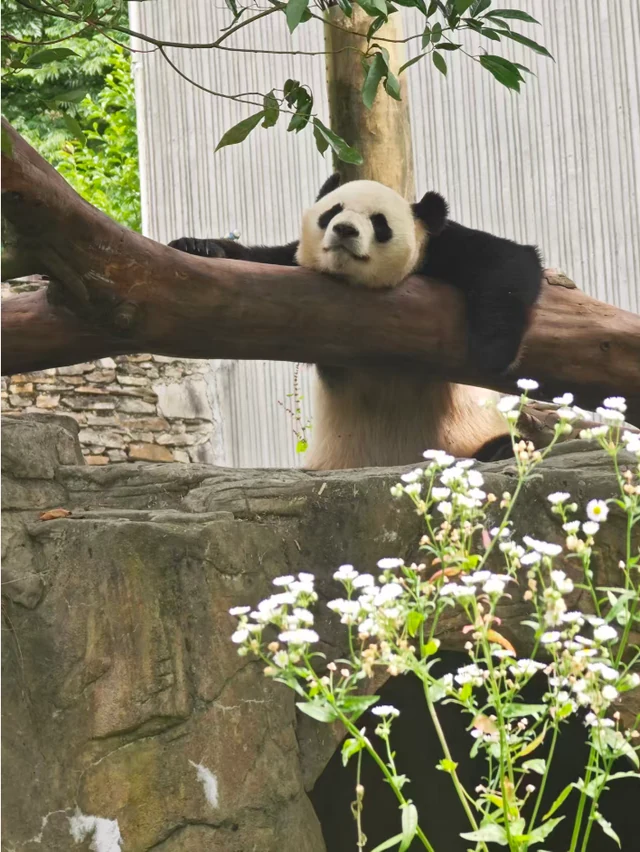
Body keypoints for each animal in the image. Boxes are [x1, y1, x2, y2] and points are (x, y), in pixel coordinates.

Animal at [170, 174, 542, 470]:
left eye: (379, 222)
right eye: (332, 211)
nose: (345, 229)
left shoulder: (440, 248)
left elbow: (507, 262)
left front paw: (490, 353)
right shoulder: (290, 268)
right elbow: (257, 262)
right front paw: (198, 246)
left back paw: (498, 451)